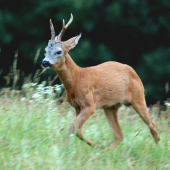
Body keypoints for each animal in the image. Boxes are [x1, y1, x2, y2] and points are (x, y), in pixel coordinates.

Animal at [41, 14, 160, 150]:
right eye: (45, 50)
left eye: (59, 51)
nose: (44, 62)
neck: (77, 78)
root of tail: (133, 71)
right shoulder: (77, 106)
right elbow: (78, 130)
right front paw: (97, 145)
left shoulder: (89, 104)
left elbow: (72, 126)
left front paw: (64, 149)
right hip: (111, 106)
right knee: (119, 135)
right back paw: (107, 150)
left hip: (138, 96)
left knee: (151, 125)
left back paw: (158, 149)